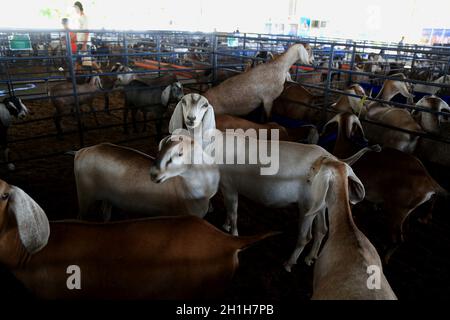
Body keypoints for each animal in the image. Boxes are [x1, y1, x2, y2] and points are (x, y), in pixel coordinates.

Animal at [74, 135, 220, 220]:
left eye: (180, 153)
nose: (153, 173)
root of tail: (82, 151)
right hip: (85, 197)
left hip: (107, 197)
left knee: (105, 213)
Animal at [324, 111, 446, 262]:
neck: (346, 145)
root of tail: (429, 180)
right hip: (406, 212)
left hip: (397, 211)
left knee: (398, 240)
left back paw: (385, 257)